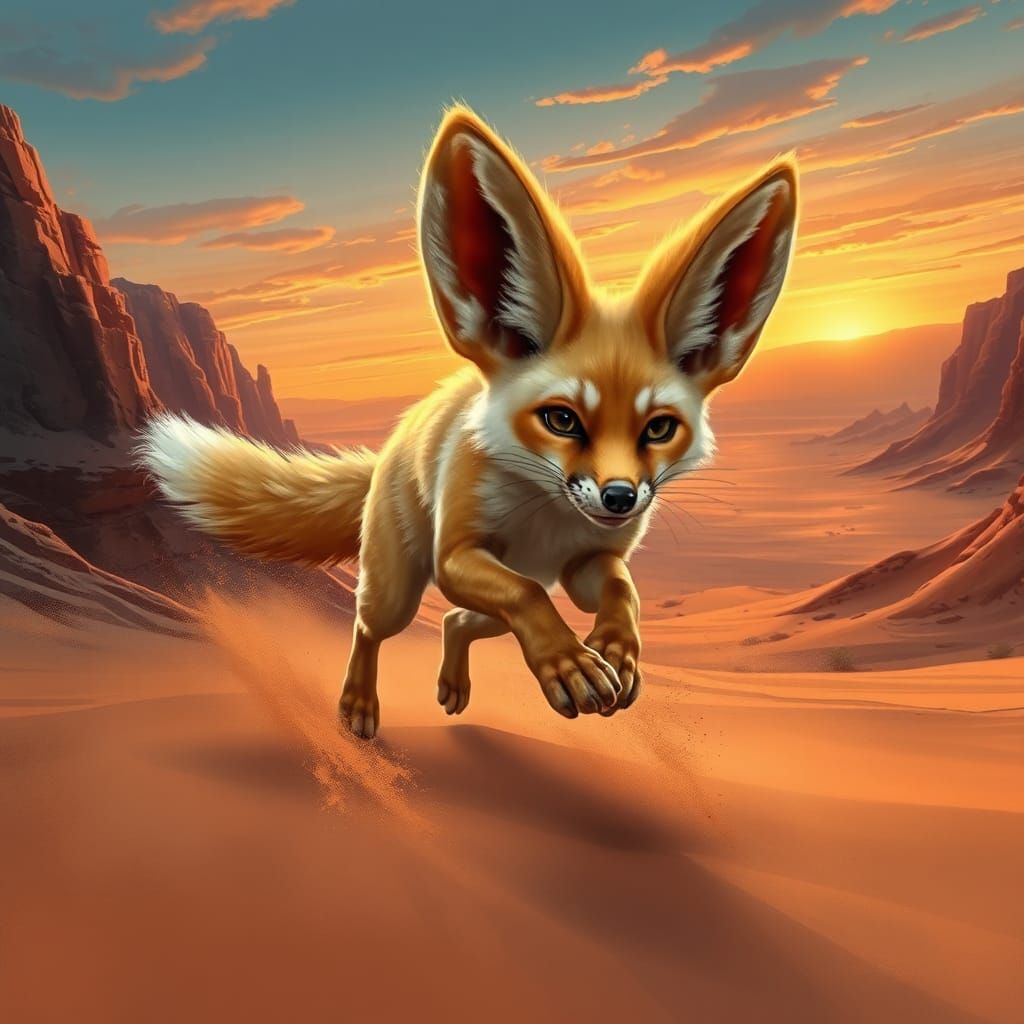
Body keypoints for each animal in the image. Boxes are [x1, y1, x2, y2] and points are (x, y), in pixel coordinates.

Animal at [140, 106, 798, 739]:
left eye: (658, 429)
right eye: (561, 419)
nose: (619, 498)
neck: (546, 523)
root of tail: (398, 437)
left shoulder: (584, 563)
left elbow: (621, 589)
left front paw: (615, 648)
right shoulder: (458, 555)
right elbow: (525, 595)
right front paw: (571, 664)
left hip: (487, 603)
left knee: (459, 620)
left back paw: (454, 686)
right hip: (399, 590)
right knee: (370, 625)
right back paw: (357, 707)